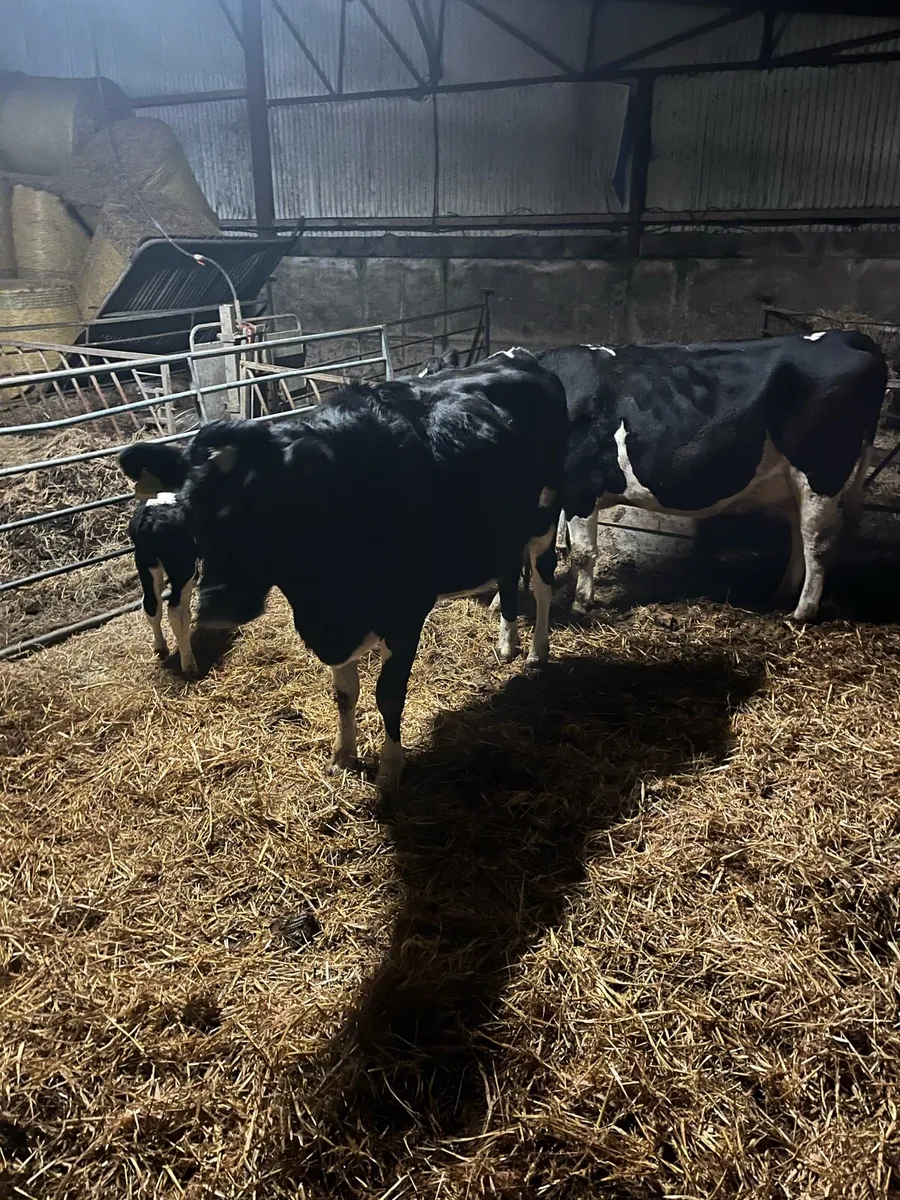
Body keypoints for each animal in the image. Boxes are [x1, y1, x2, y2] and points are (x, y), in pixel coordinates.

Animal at [118, 443, 199, 676]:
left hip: (145, 562)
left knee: (151, 605)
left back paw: (161, 647)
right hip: (182, 566)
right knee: (176, 611)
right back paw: (189, 665)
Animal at [141, 349, 567, 792]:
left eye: (265, 504)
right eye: (192, 509)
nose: (217, 607)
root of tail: (520, 359)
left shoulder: (406, 613)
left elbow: (388, 694)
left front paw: (390, 769)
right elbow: (344, 694)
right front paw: (343, 755)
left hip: (545, 517)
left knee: (542, 584)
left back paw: (537, 651)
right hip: (506, 527)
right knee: (509, 573)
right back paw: (507, 643)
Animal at [534, 331, 886, 623]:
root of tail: (847, 336)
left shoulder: (580, 487)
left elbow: (582, 552)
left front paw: (580, 604)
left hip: (822, 474)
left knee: (818, 541)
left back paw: (803, 611)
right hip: (793, 483)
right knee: (800, 532)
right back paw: (784, 592)